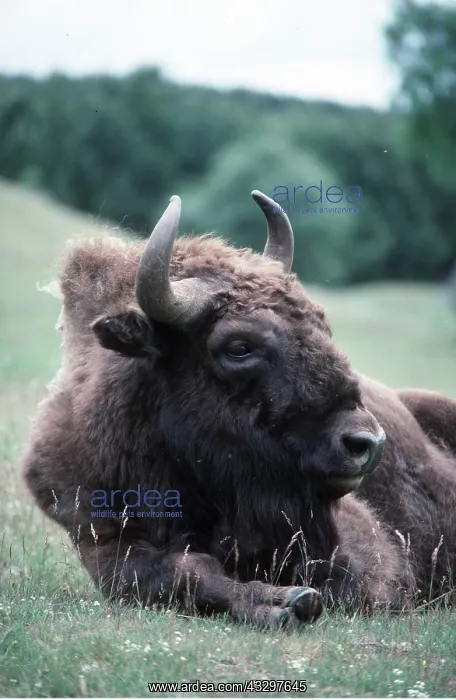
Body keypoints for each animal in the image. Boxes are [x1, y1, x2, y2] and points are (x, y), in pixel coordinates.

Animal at [22, 191, 456, 628]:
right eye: (239, 347)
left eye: (322, 324)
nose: (367, 443)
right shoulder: (103, 539)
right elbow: (182, 570)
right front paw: (285, 602)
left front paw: (294, 599)